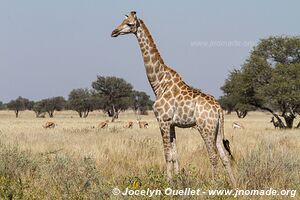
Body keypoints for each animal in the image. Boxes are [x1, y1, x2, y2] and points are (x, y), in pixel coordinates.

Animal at [110, 11, 237, 188]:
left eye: (129, 24)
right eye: (122, 21)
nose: (113, 32)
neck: (158, 83)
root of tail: (219, 109)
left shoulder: (162, 120)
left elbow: (167, 154)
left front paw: (168, 184)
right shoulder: (172, 124)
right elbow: (175, 154)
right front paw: (178, 182)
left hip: (205, 128)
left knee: (213, 155)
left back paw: (214, 185)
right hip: (217, 129)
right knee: (224, 156)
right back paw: (235, 186)